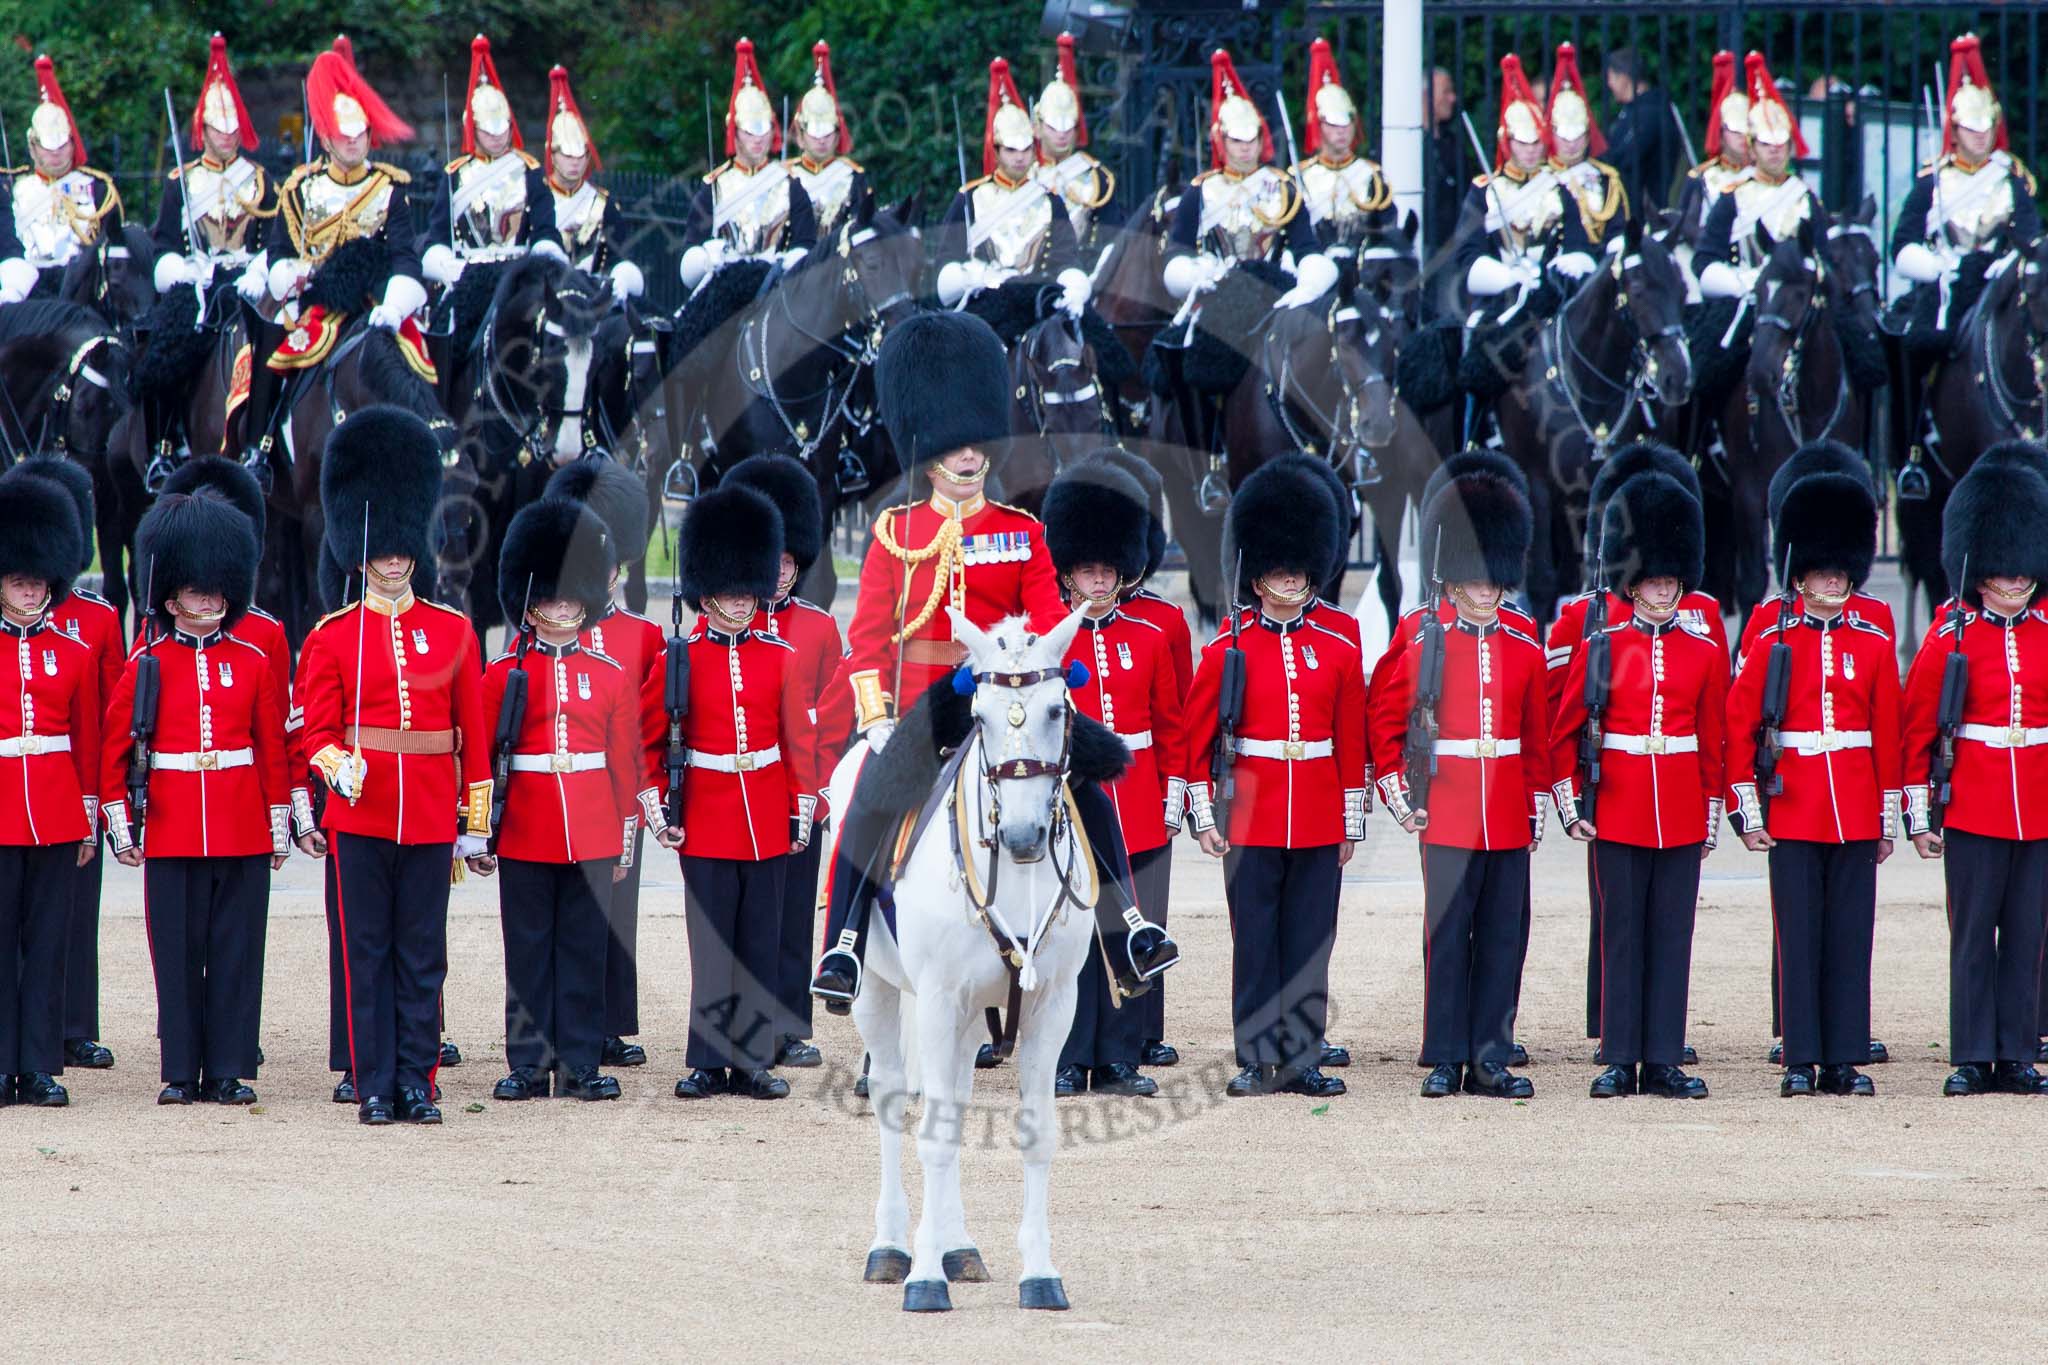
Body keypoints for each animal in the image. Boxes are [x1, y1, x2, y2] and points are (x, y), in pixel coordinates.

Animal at [819, 609, 1097, 1309]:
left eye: (1057, 709)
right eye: (982, 715)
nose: (1024, 836)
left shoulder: (1053, 1003)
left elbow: (1036, 1134)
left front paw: (1040, 1274)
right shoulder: (939, 998)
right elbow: (932, 1135)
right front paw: (922, 1278)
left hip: (971, 1013)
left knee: (958, 1099)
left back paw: (957, 1245)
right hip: (878, 993)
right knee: (893, 1101)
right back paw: (893, 1246)